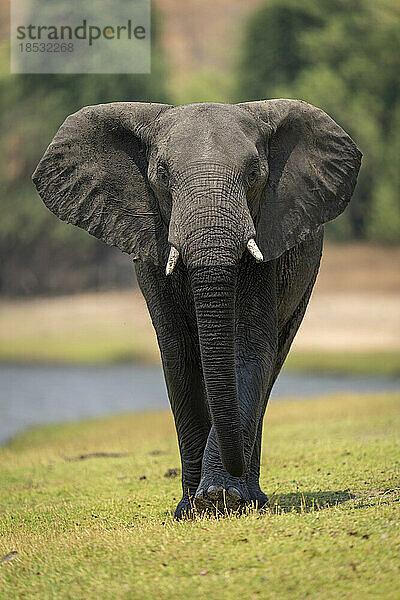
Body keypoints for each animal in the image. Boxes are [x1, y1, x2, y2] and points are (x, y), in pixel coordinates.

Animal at [32, 101, 360, 516]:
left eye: (254, 174)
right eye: (161, 175)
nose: (230, 476)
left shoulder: (266, 244)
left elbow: (249, 348)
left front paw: (221, 496)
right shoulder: (153, 243)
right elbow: (179, 352)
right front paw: (191, 508)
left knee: (274, 360)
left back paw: (252, 498)